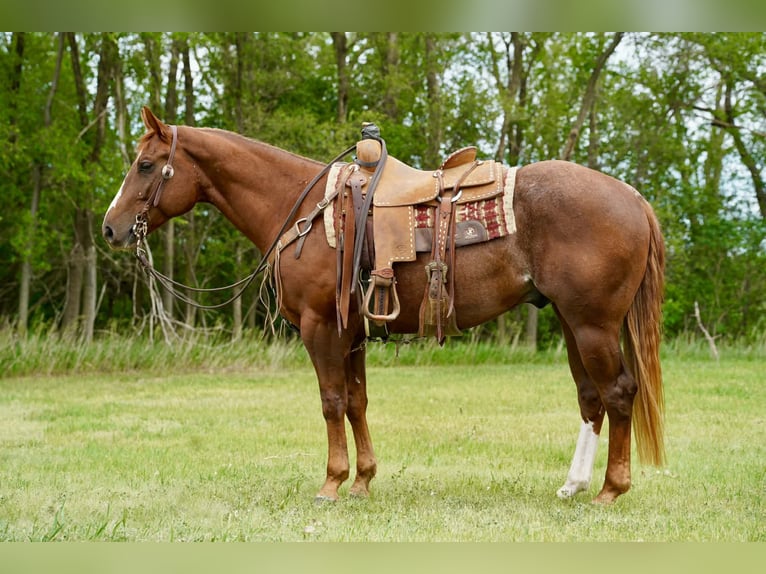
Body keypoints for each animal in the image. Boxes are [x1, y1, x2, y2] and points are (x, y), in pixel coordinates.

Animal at [103, 107, 665, 504]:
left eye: (146, 165)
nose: (110, 228)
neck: (303, 210)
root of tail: (633, 198)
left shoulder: (321, 327)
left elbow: (331, 402)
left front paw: (331, 483)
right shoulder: (351, 333)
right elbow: (357, 402)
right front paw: (362, 480)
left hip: (593, 324)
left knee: (618, 393)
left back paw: (611, 490)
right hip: (572, 321)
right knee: (591, 397)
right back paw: (573, 485)